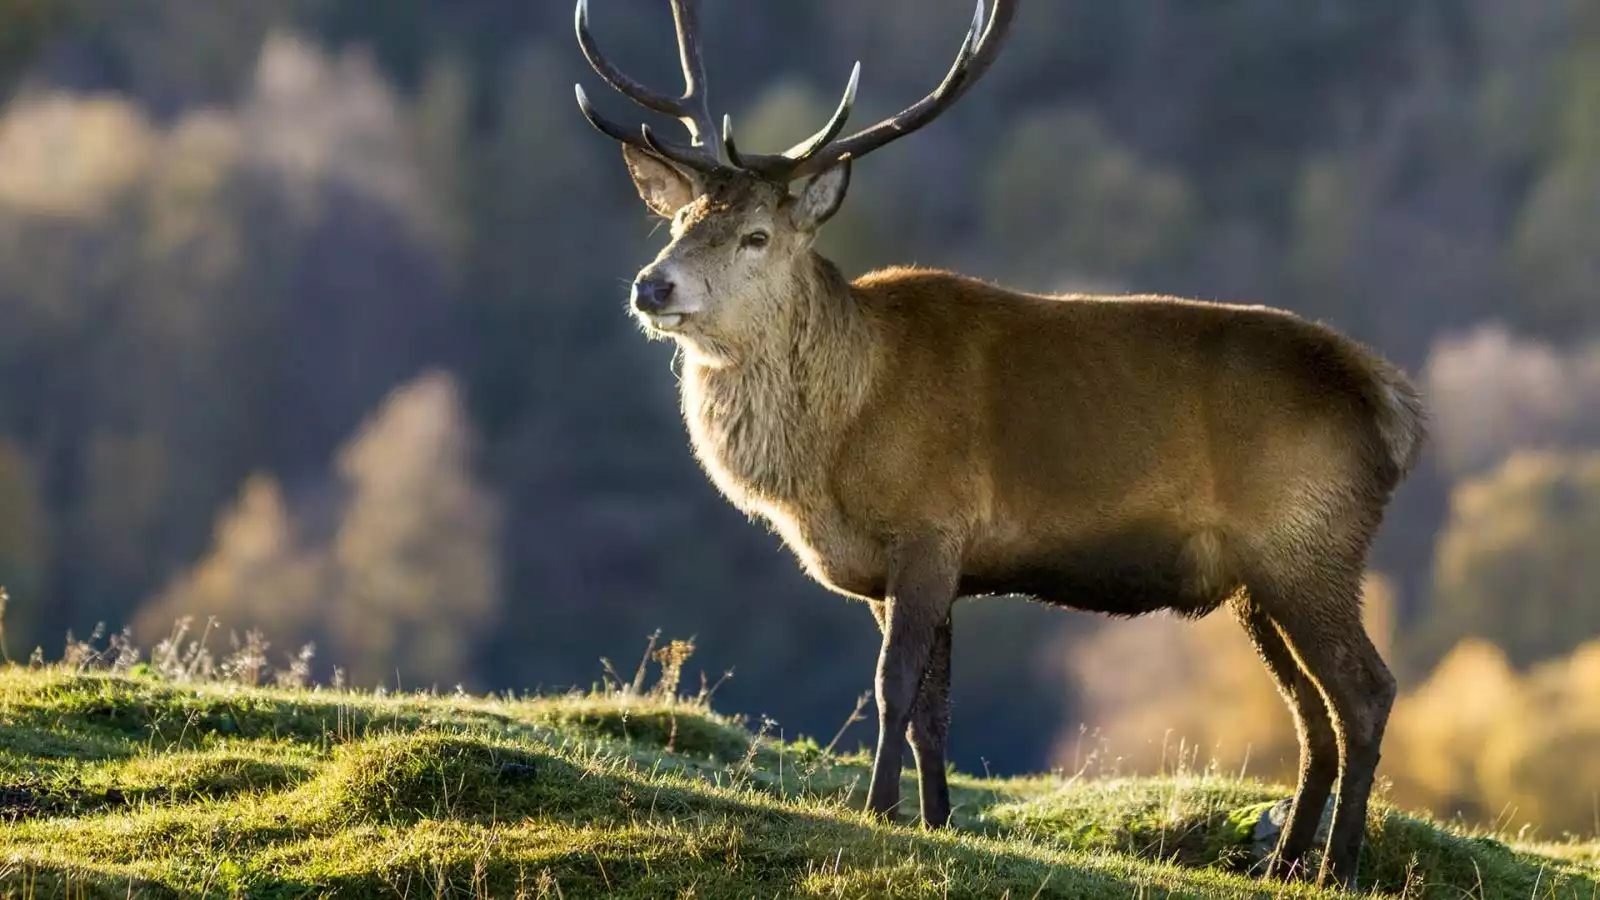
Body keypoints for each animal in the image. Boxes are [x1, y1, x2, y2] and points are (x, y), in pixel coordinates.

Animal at [572, 0, 1427, 883]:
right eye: (680, 219)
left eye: (756, 237)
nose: (653, 285)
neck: (834, 453)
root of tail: (1394, 404)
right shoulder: (920, 565)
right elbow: (933, 710)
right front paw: (939, 820)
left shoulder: (929, 525)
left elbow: (893, 685)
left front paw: (879, 810)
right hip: (1258, 581)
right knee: (1312, 712)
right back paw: (1285, 862)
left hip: (1309, 543)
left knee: (1367, 693)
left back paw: (1338, 866)